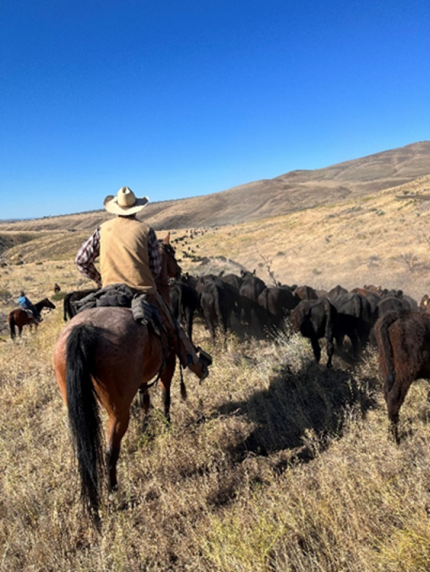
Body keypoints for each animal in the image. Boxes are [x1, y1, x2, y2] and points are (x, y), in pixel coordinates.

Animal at [53, 232, 187, 520]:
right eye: (170, 252)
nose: (179, 271)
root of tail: (84, 330)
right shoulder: (168, 363)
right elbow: (165, 395)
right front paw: (167, 424)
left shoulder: (141, 379)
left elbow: (146, 400)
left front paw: (147, 427)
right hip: (117, 410)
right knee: (109, 449)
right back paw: (114, 492)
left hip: (73, 402)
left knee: (86, 453)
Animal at [372, 310, 430, 444]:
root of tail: (399, 314)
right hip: (405, 373)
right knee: (395, 397)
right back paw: (394, 439)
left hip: (387, 368)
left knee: (387, 395)